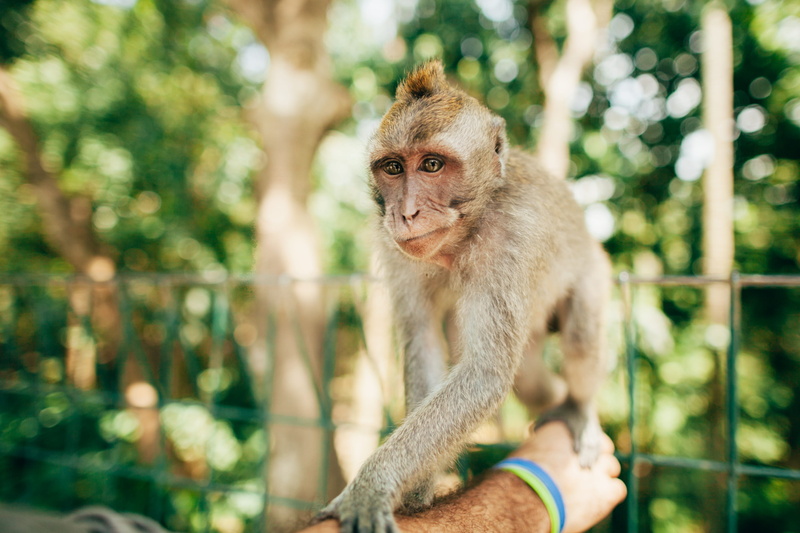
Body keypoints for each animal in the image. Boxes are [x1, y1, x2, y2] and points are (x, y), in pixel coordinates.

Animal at [317, 60, 611, 533]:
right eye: (393, 168)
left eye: (432, 165)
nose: (407, 213)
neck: (466, 227)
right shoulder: (394, 249)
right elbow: (423, 341)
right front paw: (416, 486)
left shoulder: (514, 239)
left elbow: (484, 375)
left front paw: (372, 485)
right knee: (530, 382)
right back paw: (557, 404)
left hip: (594, 271)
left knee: (582, 335)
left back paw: (580, 409)